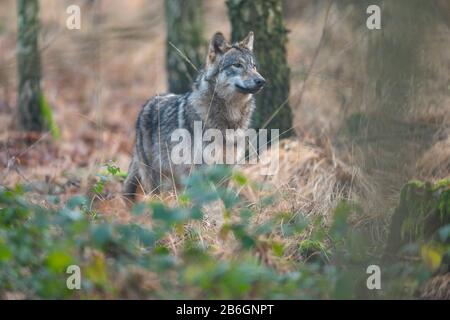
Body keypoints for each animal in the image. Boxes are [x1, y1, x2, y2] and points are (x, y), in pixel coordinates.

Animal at [121, 31, 266, 199]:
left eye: (253, 66)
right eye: (237, 65)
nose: (261, 81)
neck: (230, 118)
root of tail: (146, 104)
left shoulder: (226, 170)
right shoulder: (201, 171)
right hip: (158, 183)